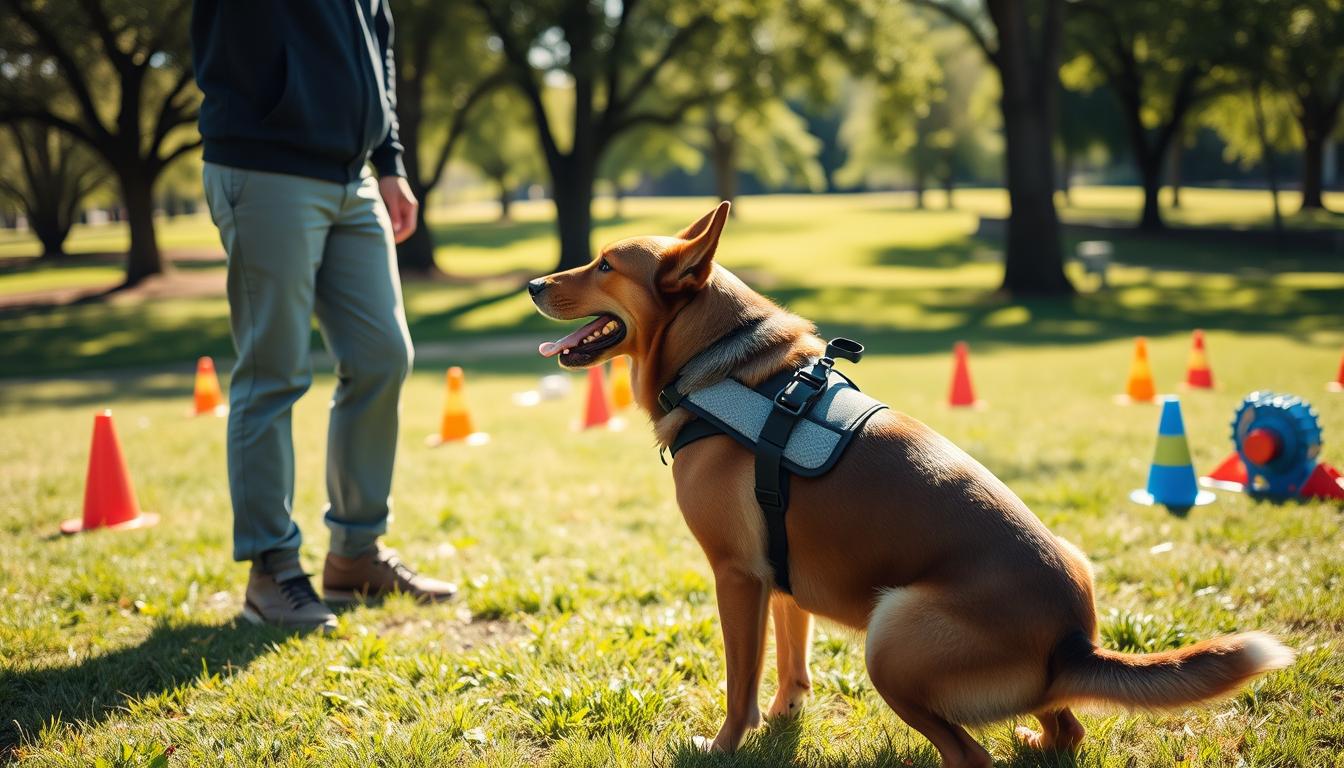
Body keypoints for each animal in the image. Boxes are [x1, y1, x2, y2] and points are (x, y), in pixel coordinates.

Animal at [529, 201, 1295, 763]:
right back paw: (1034, 737)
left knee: (971, 757)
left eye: (604, 263)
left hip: (890, 636)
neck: (725, 367)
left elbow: (739, 684)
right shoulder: (779, 576)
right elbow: (791, 665)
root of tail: (1072, 641)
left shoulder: (737, 576)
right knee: (1066, 732)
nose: (533, 284)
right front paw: (785, 722)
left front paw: (723, 747)